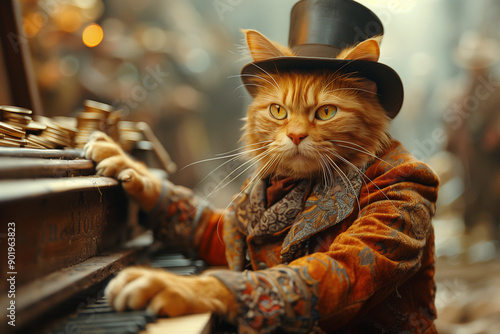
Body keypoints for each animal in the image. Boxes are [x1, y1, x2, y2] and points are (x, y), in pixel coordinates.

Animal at [85, 29, 438, 334]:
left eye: (326, 112)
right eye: (278, 111)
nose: (296, 136)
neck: (294, 185)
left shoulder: (382, 219)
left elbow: (307, 277)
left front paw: (172, 285)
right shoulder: (217, 231)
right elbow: (197, 219)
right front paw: (126, 162)